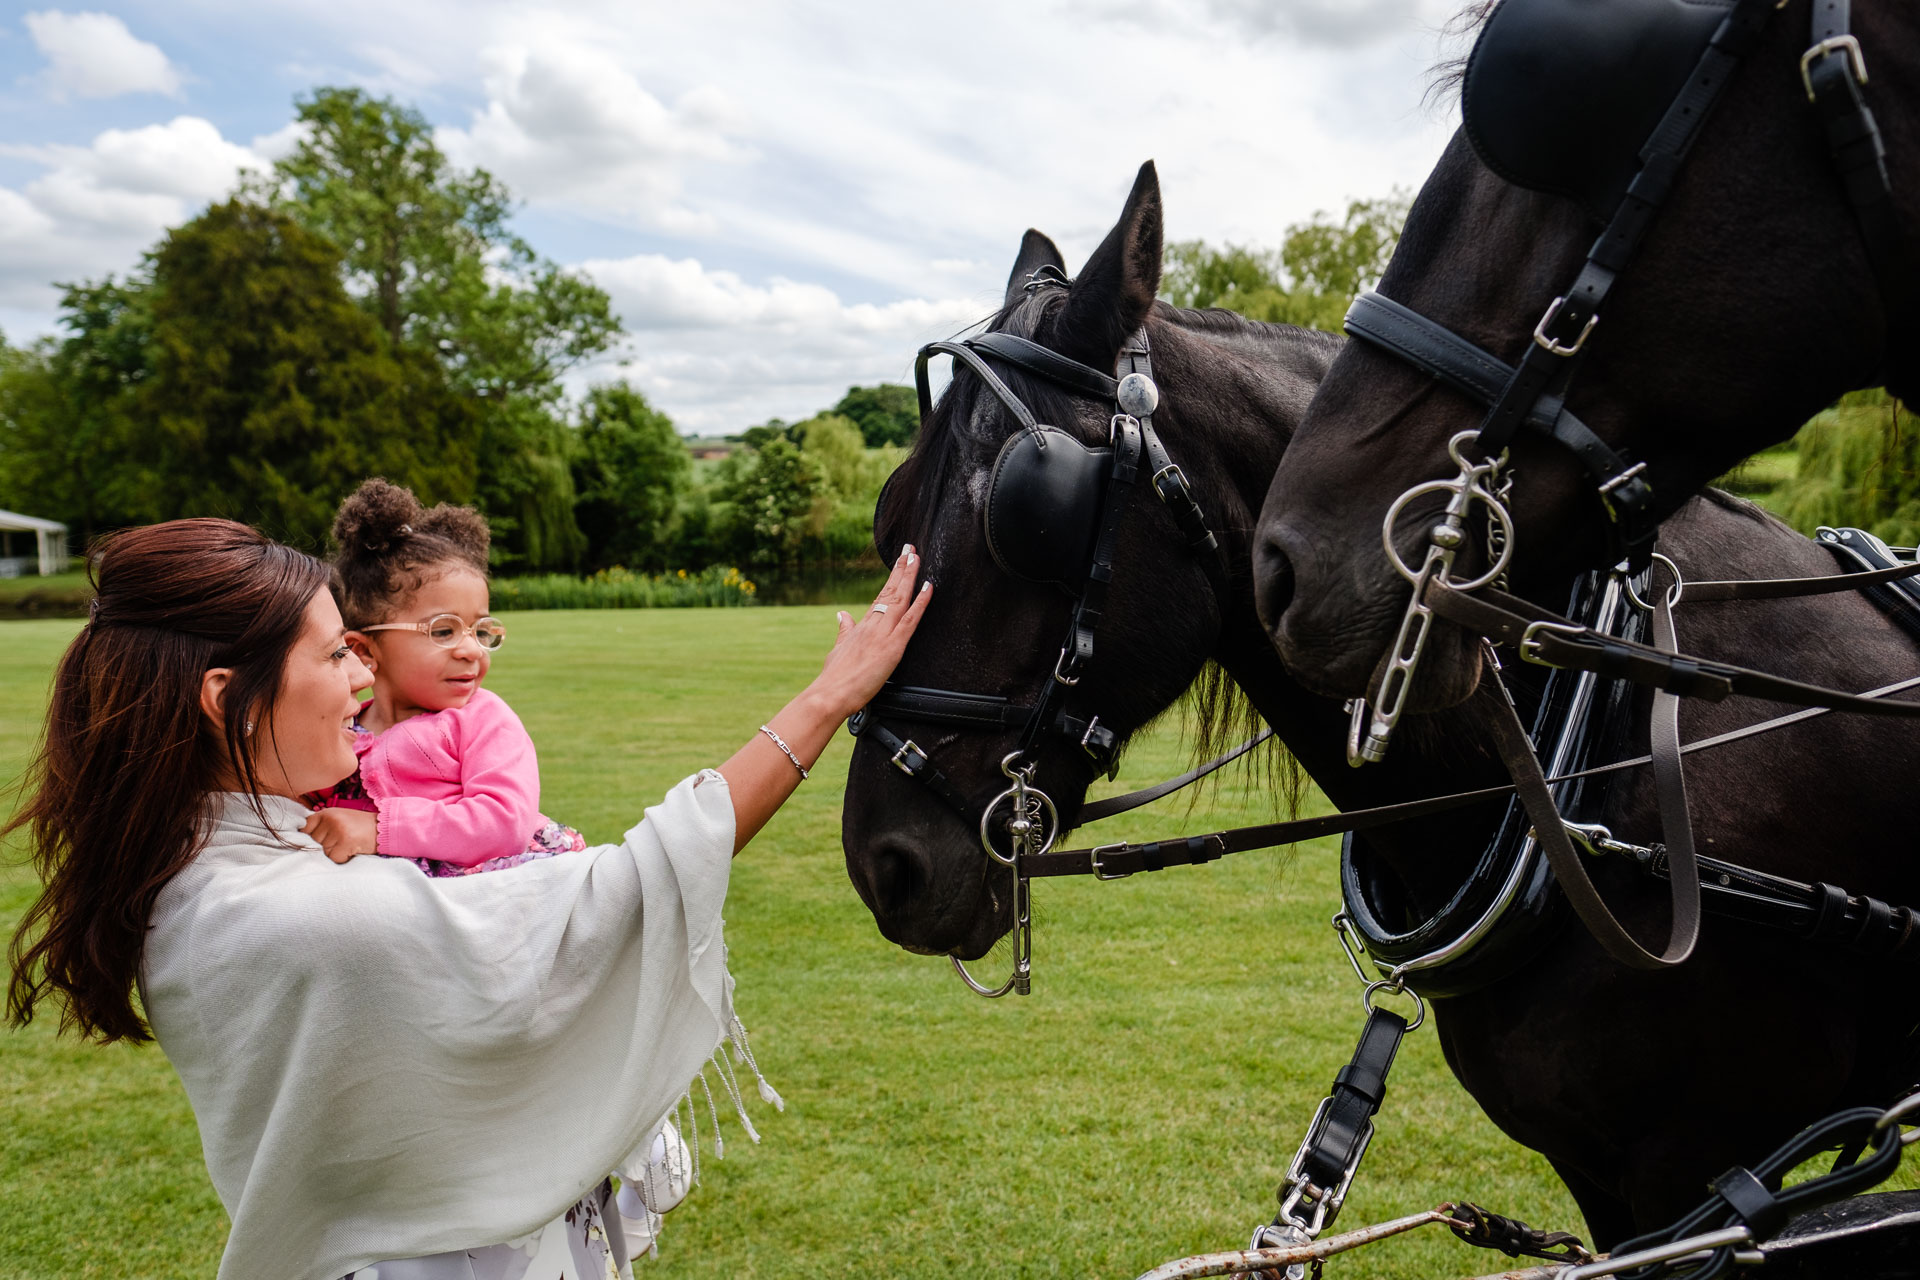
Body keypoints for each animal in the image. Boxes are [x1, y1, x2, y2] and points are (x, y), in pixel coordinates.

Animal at [848, 165, 1920, 1243]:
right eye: (888, 511)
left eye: (1029, 512)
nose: (882, 865)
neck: (1592, 735)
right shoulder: (1607, 1178)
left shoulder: (1697, 1179)